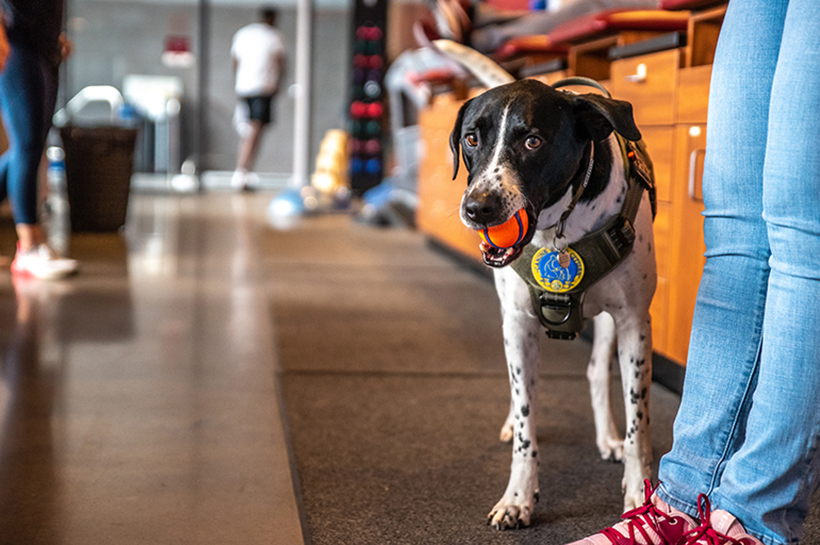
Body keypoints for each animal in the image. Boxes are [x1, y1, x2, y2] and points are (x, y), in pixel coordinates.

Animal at [438, 43, 656, 532]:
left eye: (532, 141)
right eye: (472, 139)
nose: (477, 208)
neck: (559, 230)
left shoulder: (635, 324)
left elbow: (639, 424)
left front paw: (640, 495)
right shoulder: (518, 324)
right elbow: (526, 421)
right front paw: (518, 498)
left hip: (612, 322)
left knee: (597, 372)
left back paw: (608, 437)